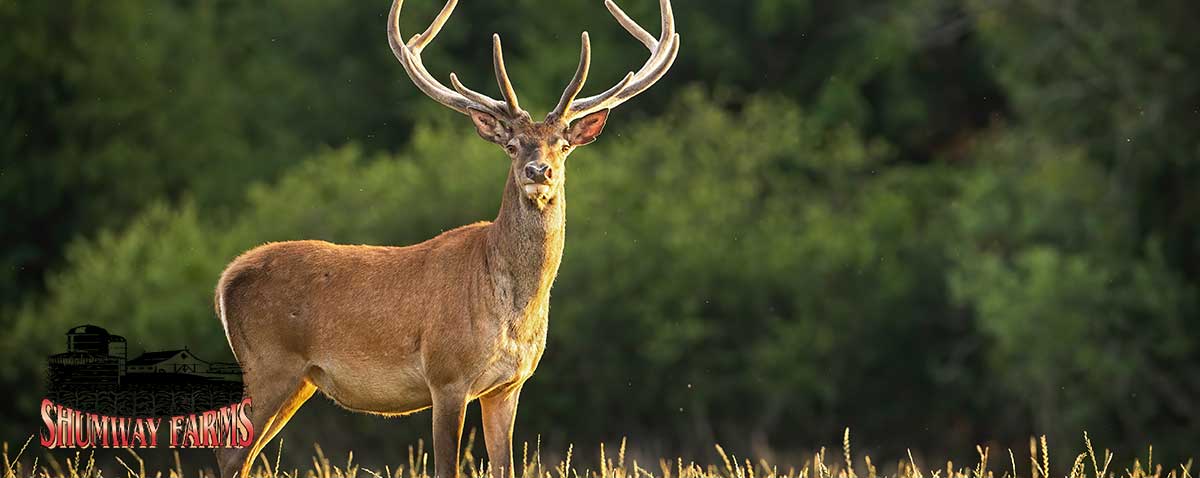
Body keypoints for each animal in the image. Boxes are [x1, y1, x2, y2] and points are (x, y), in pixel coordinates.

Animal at [217, 0, 681, 477]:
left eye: (562, 144)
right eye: (512, 145)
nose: (539, 171)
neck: (511, 309)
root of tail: (227, 277)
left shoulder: (508, 385)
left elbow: (504, 465)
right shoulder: (446, 375)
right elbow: (446, 465)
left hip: (299, 381)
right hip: (269, 364)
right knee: (230, 451)